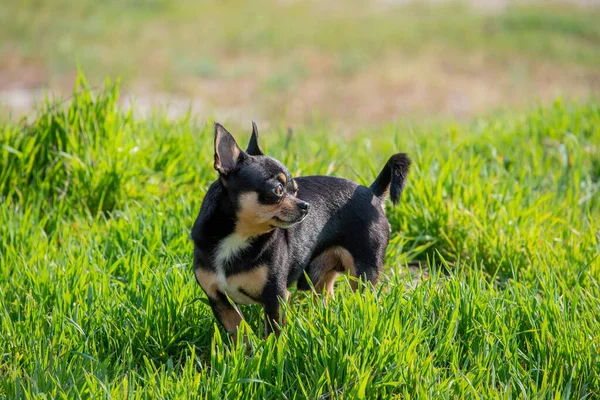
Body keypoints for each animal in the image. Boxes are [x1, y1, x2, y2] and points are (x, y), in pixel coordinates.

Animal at [192, 122, 412, 338]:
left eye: (296, 190)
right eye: (278, 190)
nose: (306, 205)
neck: (239, 236)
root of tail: (372, 193)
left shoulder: (275, 297)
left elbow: (273, 335)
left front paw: (270, 349)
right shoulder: (219, 300)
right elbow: (238, 333)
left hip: (364, 274)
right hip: (324, 280)